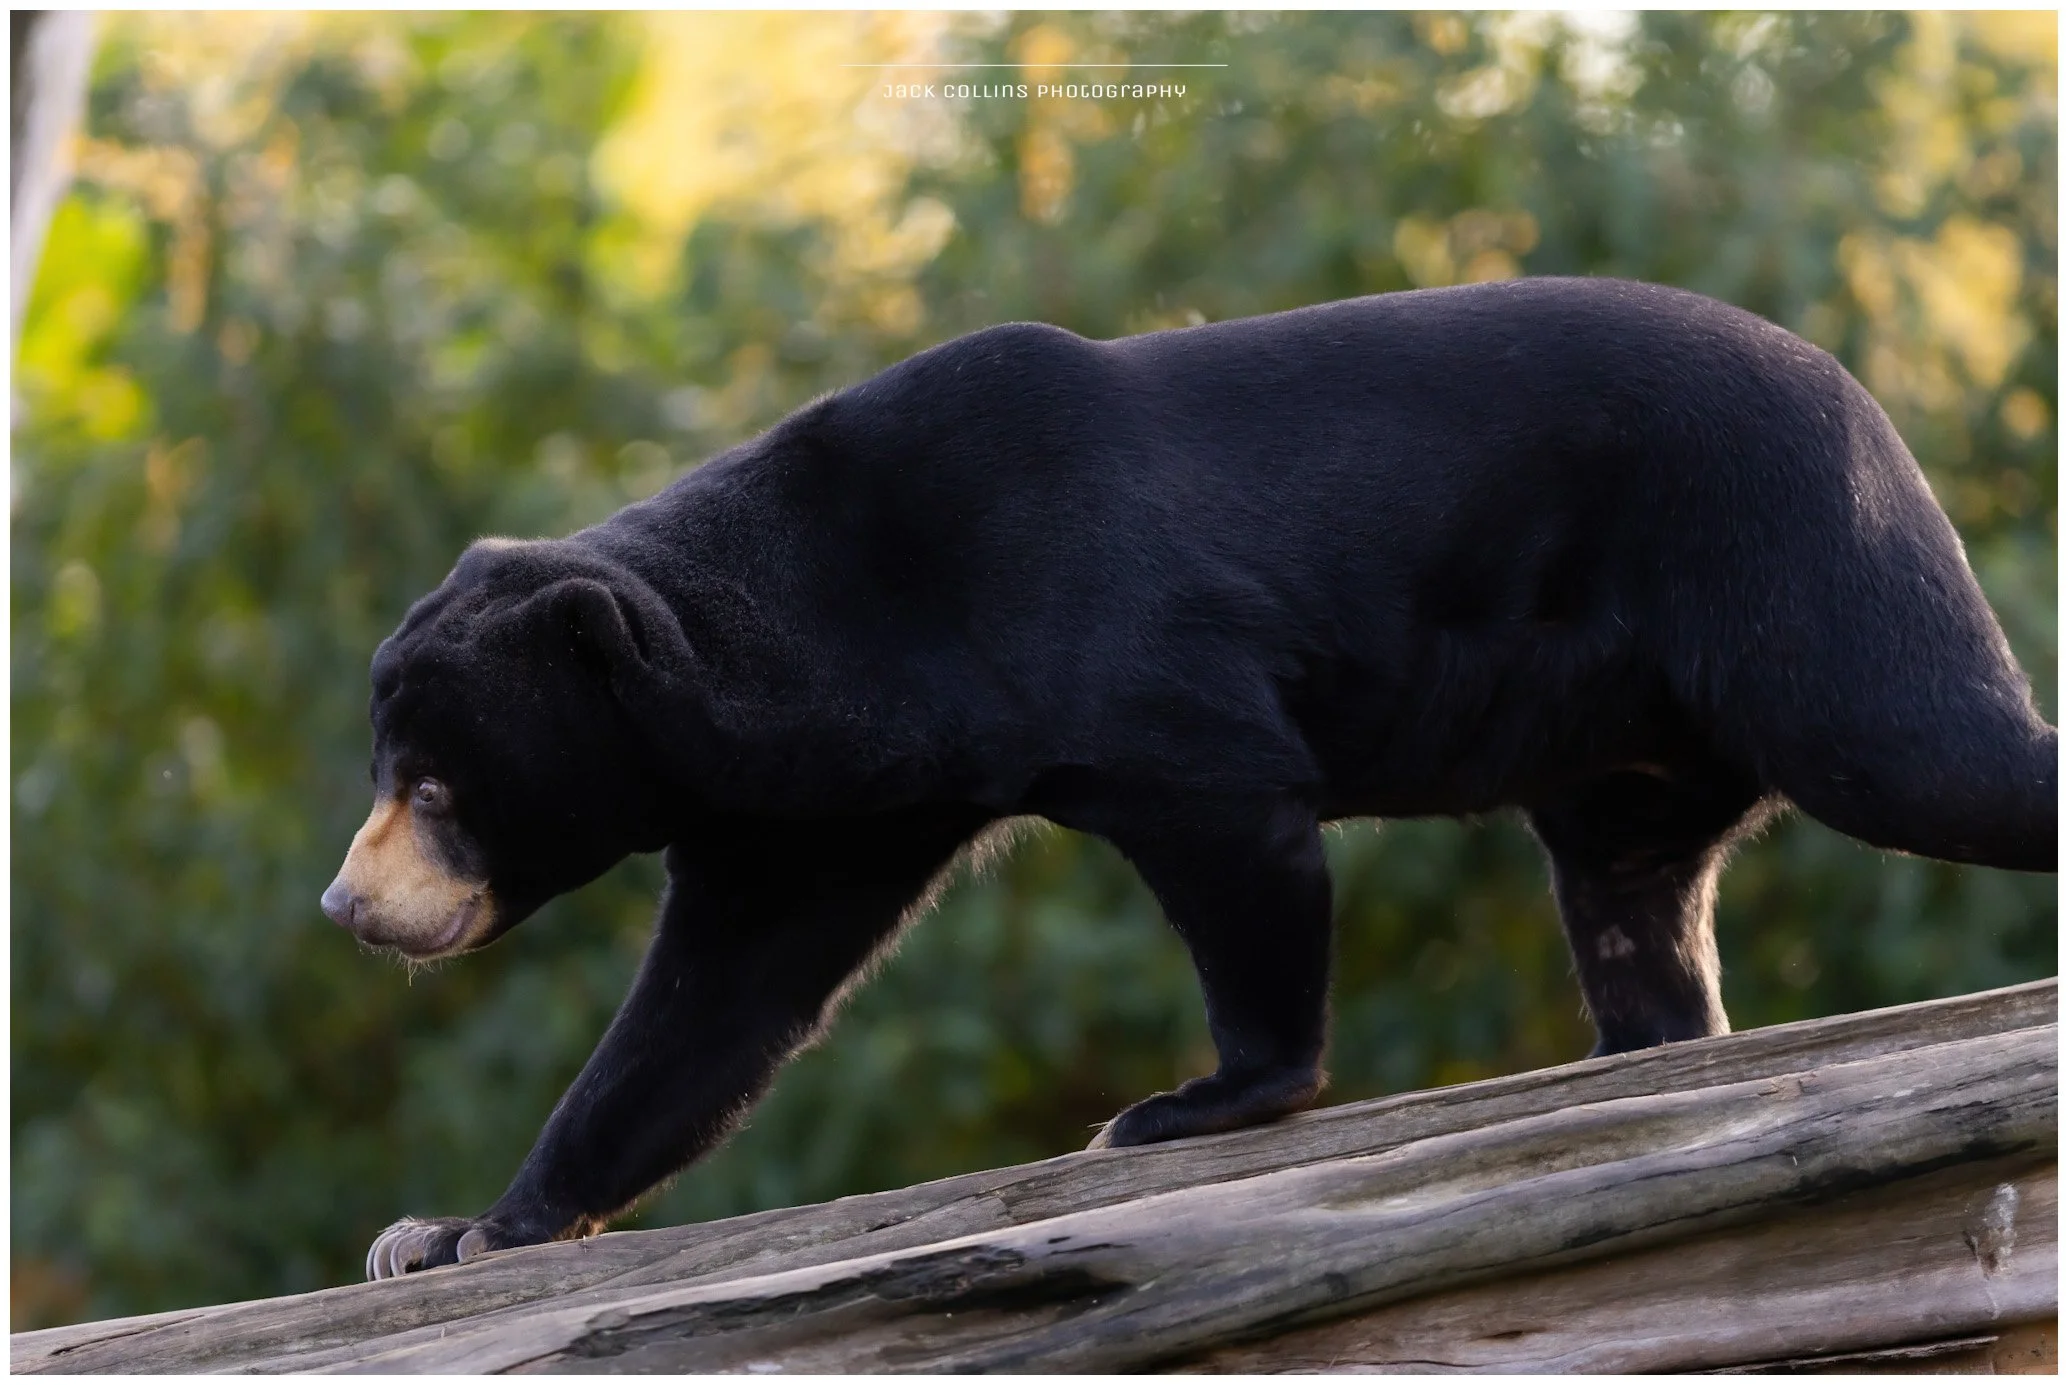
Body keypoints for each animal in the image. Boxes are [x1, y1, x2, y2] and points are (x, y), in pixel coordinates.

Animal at [324, 276, 2057, 1280]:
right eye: (389, 768)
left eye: (443, 787)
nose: (347, 905)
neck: (835, 632)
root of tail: (1866, 405)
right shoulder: (824, 803)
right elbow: (711, 1009)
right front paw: (456, 1231)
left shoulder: (1113, 645)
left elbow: (1234, 830)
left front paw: (1177, 1107)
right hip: (1630, 731)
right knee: (1629, 880)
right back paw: (1645, 1041)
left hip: (1794, 567)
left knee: (1930, 750)